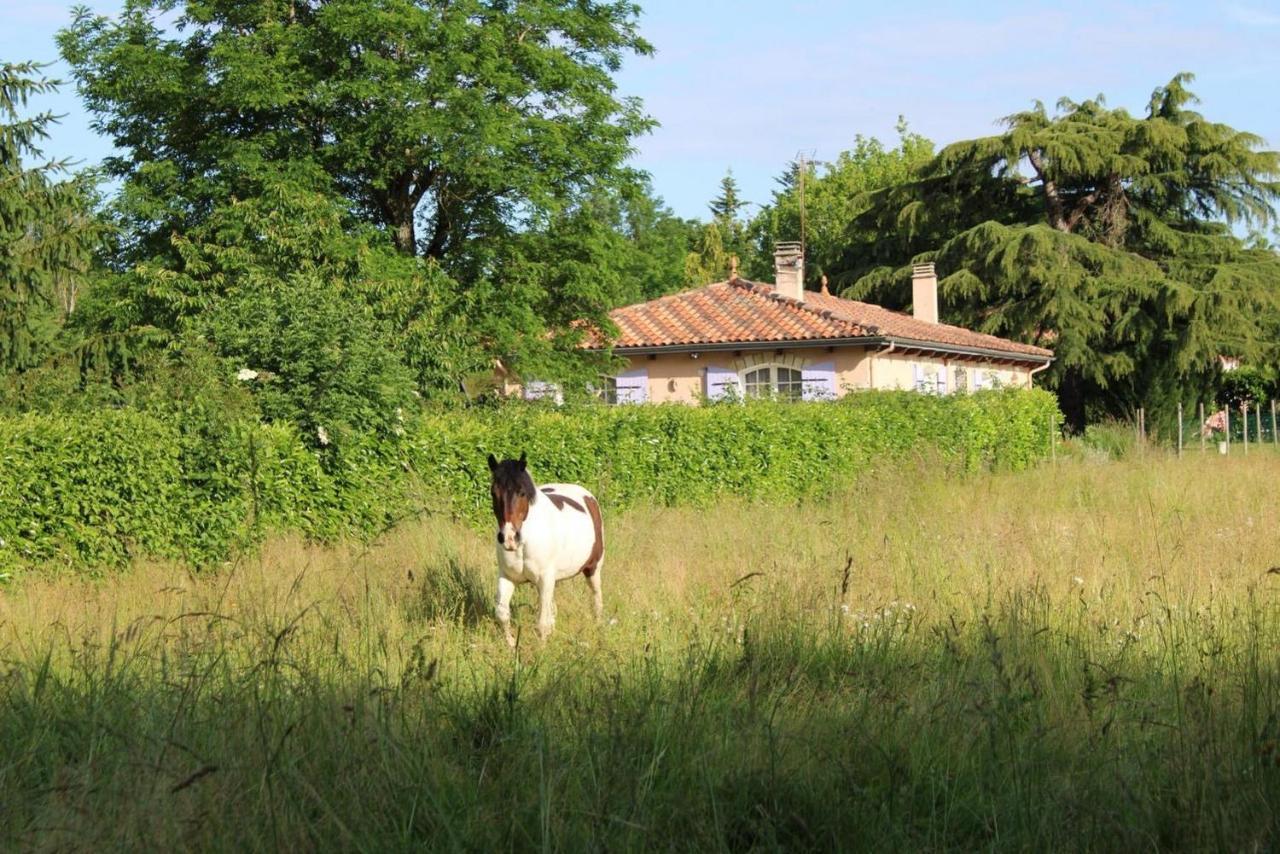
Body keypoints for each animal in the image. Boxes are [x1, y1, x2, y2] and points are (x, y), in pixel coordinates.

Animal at [491, 450, 606, 645]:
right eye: (493, 493)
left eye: (522, 493)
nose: (508, 538)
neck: (525, 542)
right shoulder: (507, 577)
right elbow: (502, 614)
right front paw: (512, 644)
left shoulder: (545, 579)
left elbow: (541, 623)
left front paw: (541, 649)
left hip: (593, 568)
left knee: (596, 597)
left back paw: (598, 626)